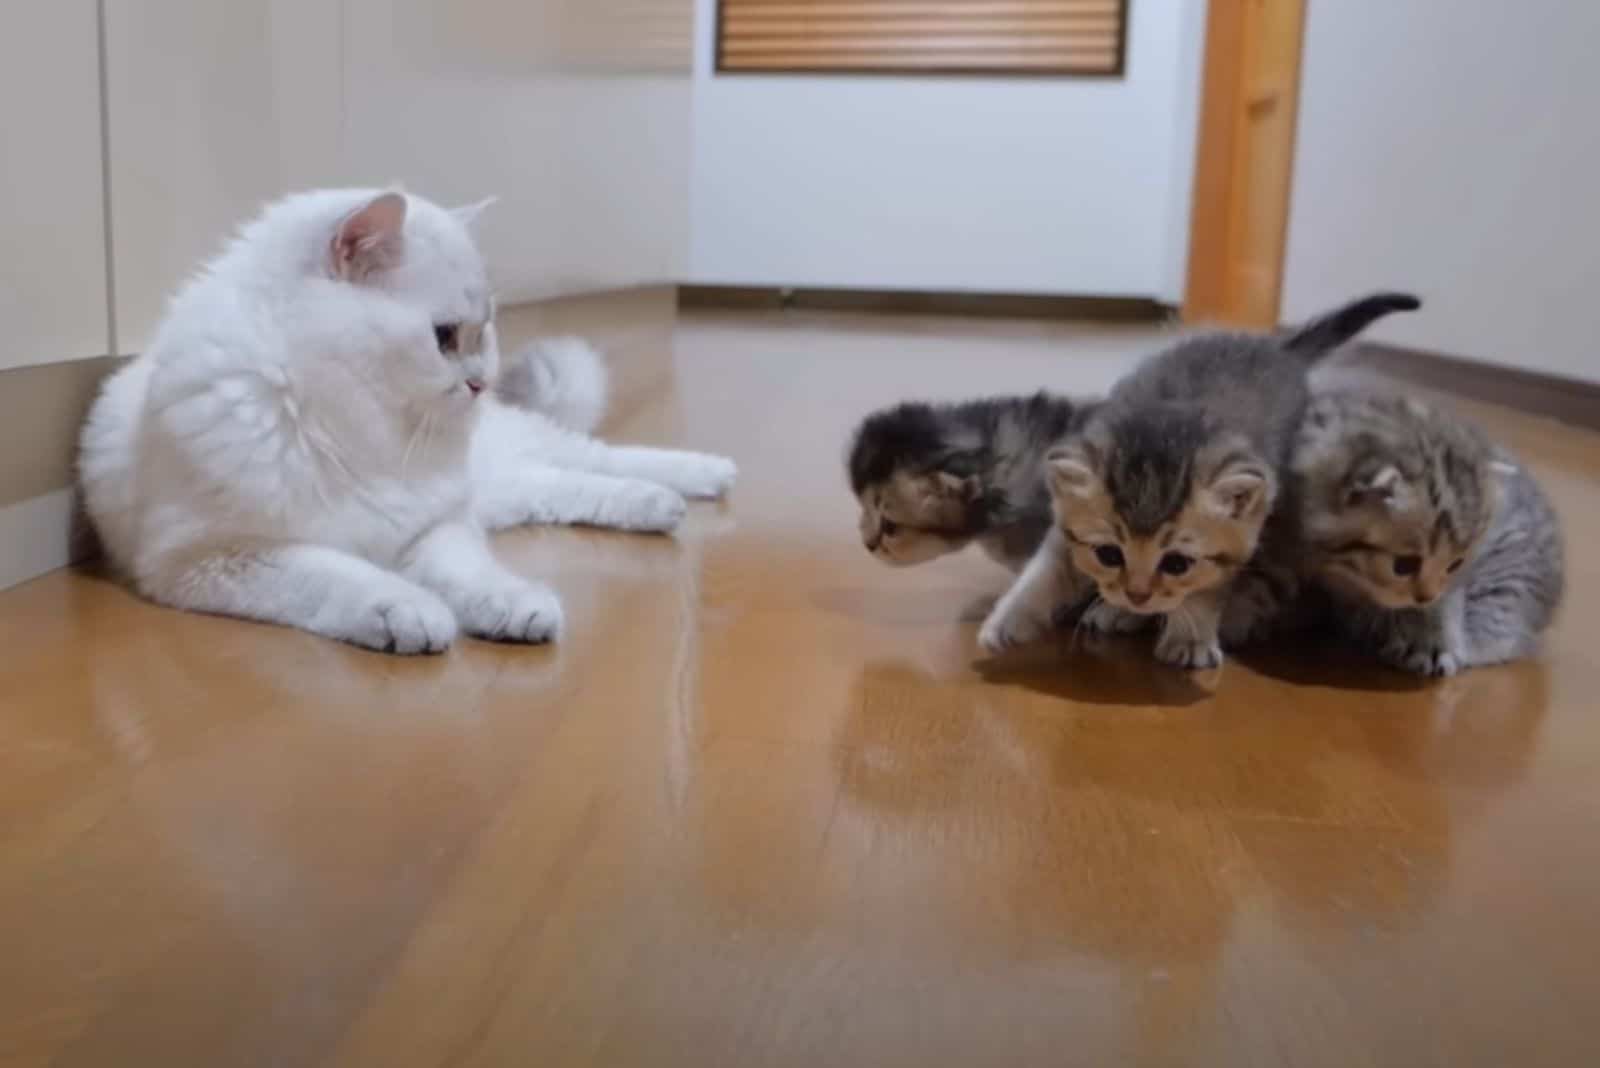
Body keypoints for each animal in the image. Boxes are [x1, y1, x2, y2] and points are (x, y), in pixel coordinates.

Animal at [82, 191, 736, 655]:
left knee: (598, 457)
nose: (479, 382)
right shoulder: (222, 556)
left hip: (510, 459)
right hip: (503, 488)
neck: (350, 428)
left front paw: (512, 606)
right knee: (564, 486)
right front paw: (410, 614)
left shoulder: (434, 528)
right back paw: (659, 505)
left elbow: (471, 575)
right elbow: (342, 575)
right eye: (444, 337)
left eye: (483, 332)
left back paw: (704, 478)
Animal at [979, 292, 1420, 668]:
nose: (1137, 595)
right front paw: (1007, 620)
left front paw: (1189, 637)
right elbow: (1041, 574)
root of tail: (1273, 347)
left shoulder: (1243, 535)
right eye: (1108, 555)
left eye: (1177, 563)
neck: (1170, 423)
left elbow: (1207, 589)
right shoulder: (1065, 532)